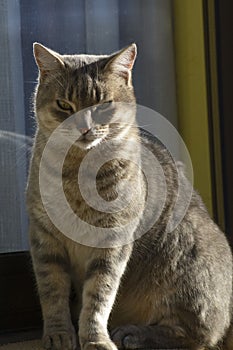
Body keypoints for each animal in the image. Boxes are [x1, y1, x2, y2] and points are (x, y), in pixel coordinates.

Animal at [26, 43, 233, 350]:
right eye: (64, 105)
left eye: (102, 105)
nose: (84, 128)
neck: (77, 171)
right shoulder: (44, 238)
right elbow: (52, 293)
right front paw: (59, 334)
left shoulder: (113, 240)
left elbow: (98, 297)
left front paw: (95, 339)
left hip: (185, 269)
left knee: (194, 335)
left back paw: (132, 333)